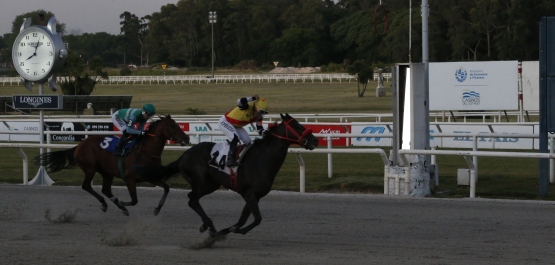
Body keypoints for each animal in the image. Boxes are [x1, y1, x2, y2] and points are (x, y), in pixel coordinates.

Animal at [36, 113, 191, 214]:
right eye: (172, 126)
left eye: (178, 125)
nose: (186, 138)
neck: (144, 152)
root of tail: (79, 145)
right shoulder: (129, 179)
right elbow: (134, 200)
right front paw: (122, 202)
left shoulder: (150, 177)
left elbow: (166, 188)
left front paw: (157, 208)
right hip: (90, 168)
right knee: (87, 186)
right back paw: (107, 204)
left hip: (106, 172)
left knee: (106, 190)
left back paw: (118, 206)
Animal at [137, 113, 320, 237]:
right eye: (297, 126)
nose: (315, 140)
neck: (263, 158)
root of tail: (184, 155)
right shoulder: (250, 194)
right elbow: (257, 219)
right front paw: (233, 230)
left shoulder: (253, 195)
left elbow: (244, 219)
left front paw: (227, 230)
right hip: (202, 182)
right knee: (192, 199)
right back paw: (209, 226)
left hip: (212, 184)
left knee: (193, 199)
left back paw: (208, 227)